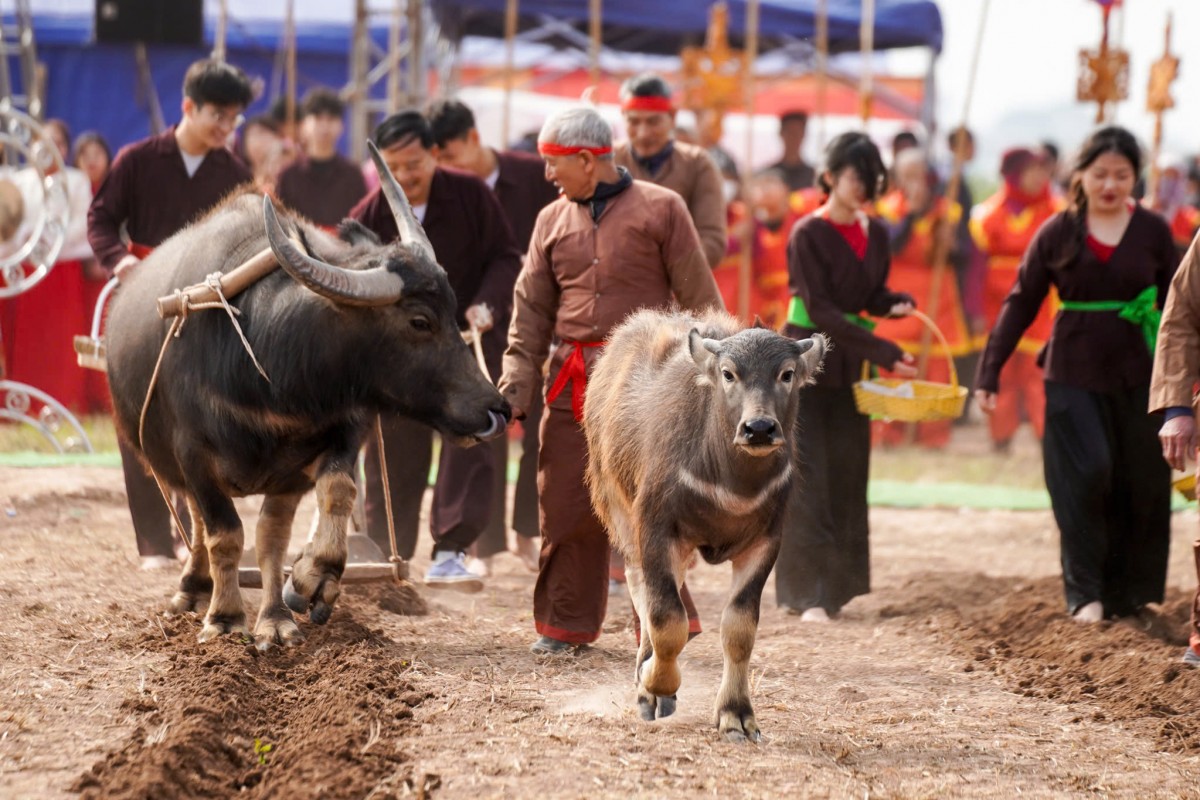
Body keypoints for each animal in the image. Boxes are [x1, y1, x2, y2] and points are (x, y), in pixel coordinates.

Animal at [104, 143, 511, 652]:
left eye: (455, 309)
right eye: (420, 320)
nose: (495, 410)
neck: (270, 370)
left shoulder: (322, 447)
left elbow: (310, 512)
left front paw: (302, 590)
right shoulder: (193, 453)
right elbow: (225, 534)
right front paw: (226, 618)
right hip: (160, 460)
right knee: (196, 521)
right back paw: (193, 589)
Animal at [583, 309, 825, 743]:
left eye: (787, 373)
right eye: (729, 373)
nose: (758, 428)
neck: (731, 484)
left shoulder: (765, 542)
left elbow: (740, 629)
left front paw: (736, 714)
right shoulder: (657, 529)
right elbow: (667, 620)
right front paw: (654, 685)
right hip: (619, 510)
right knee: (641, 587)